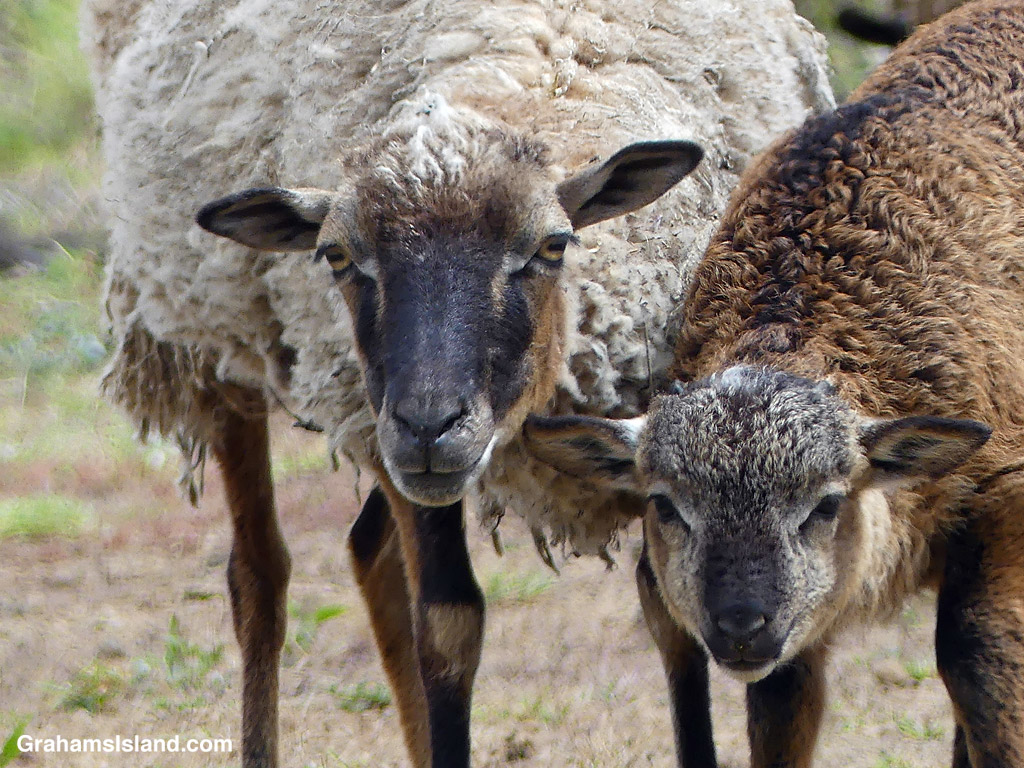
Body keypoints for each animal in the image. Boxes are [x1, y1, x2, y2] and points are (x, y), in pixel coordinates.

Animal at [80, 0, 833, 765]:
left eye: (552, 246)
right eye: (337, 255)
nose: (429, 426)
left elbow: (677, 614)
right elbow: (447, 628)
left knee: (368, 550)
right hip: (214, 343)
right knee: (259, 577)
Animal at [524, 2, 1024, 765]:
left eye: (826, 505)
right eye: (664, 504)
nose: (740, 624)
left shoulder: (1006, 498)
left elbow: (976, 659)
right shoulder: (795, 635)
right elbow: (780, 709)